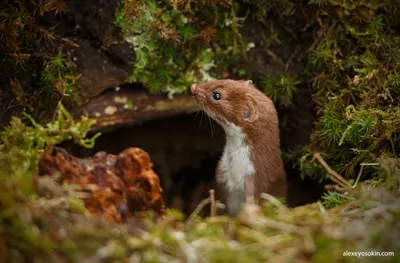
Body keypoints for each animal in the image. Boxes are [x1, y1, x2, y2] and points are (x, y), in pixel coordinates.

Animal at [190, 78, 286, 217]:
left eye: (217, 95)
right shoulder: (221, 176)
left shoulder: (259, 182)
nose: (193, 87)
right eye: (222, 79)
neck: (236, 170)